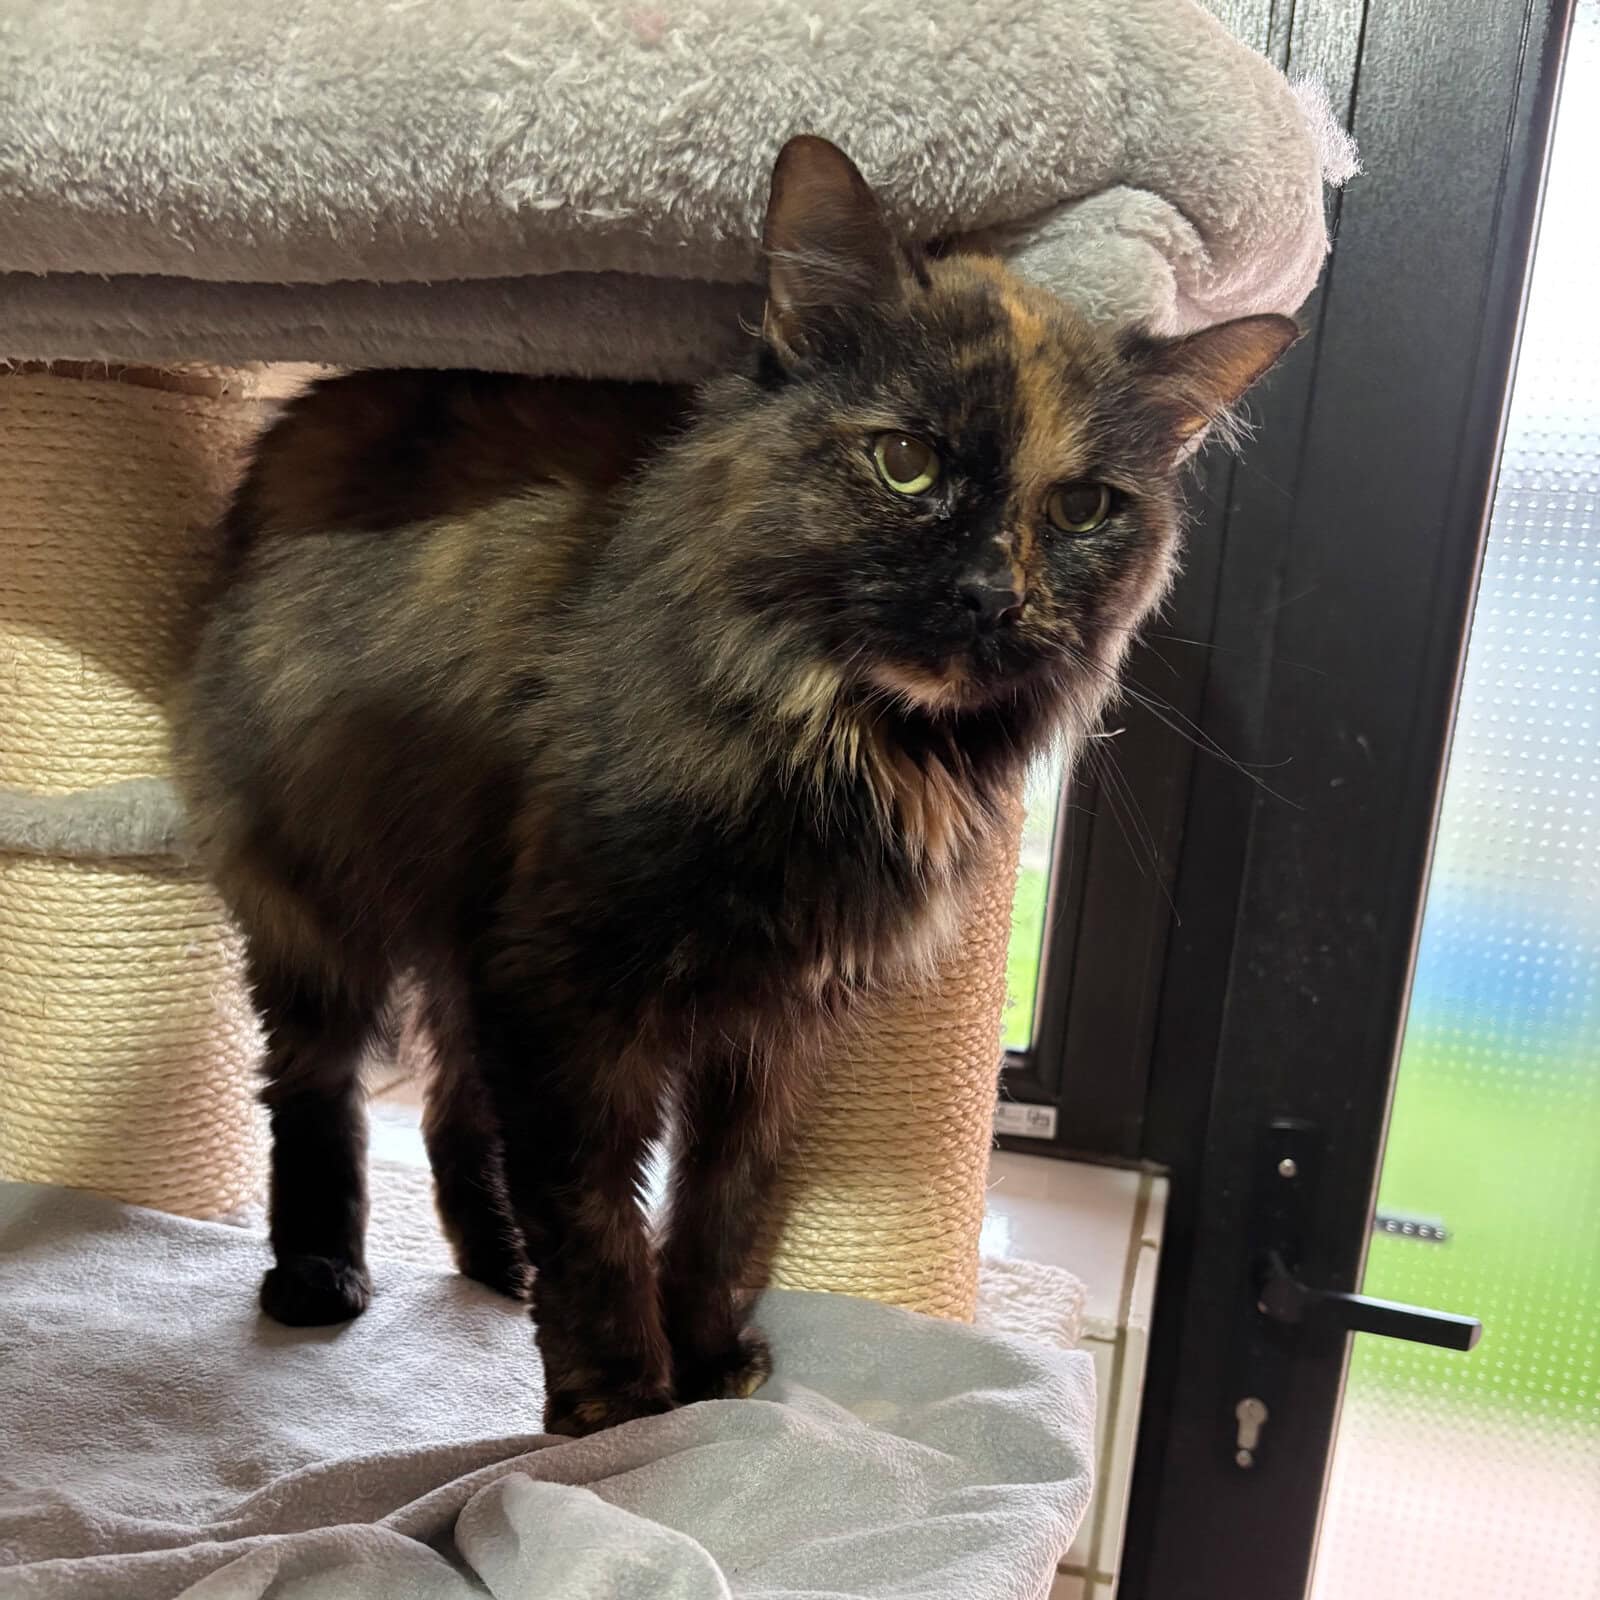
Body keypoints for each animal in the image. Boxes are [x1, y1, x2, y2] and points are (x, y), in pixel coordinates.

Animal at [171, 135, 1296, 1436]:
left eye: (1080, 509)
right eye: (906, 463)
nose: (991, 595)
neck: (847, 746)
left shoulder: (767, 1021)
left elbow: (720, 1205)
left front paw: (706, 1365)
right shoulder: (567, 988)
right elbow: (596, 1211)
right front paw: (618, 1400)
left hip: (463, 921)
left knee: (453, 1100)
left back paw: (495, 1261)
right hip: (321, 898)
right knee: (319, 1090)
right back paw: (320, 1273)